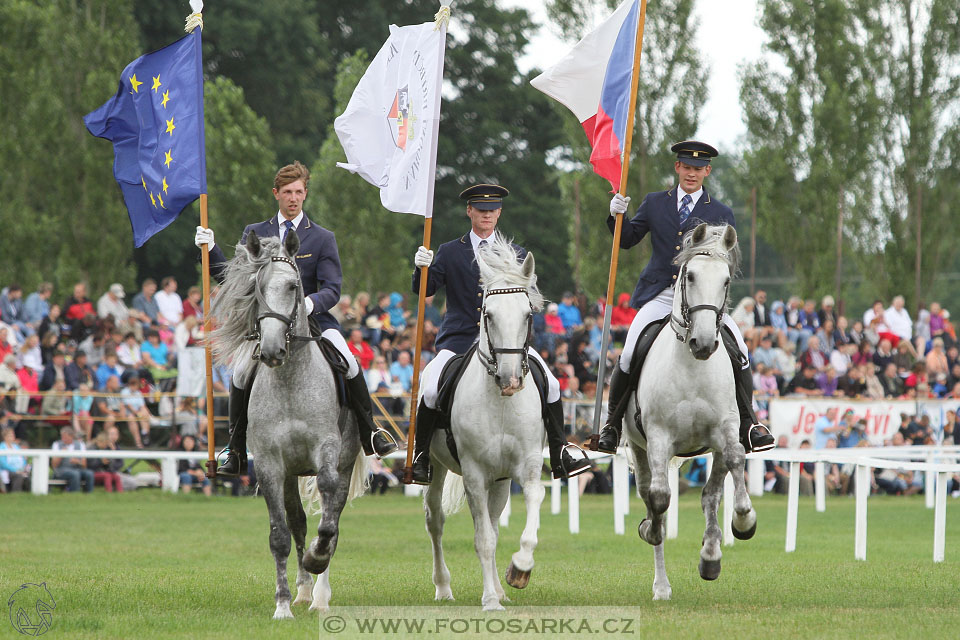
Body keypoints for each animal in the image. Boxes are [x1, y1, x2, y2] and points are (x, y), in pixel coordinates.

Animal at [211, 232, 368, 616]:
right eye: (255, 287)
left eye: (294, 286)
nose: (270, 351)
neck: (290, 380)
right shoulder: (271, 465)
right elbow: (280, 534)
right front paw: (282, 604)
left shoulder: (327, 452)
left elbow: (328, 519)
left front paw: (317, 558)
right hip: (289, 474)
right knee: (298, 520)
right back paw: (303, 592)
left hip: (342, 463)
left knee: (332, 516)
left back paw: (321, 593)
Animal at [426, 235, 552, 608]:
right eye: (488, 314)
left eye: (527, 314)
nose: (510, 380)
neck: (500, 403)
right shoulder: (474, 474)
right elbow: (482, 539)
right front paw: (489, 601)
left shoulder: (524, 465)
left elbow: (532, 502)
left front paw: (519, 569)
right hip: (438, 468)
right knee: (436, 520)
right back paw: (444, 587)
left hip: (500, 479)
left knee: (493, 523)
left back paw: (498, 587)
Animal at [628, 224, 760, 600]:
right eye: (690, 276)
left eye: (726, 280)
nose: (703, 343)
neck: (692, 365)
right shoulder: (658, 437)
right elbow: (659, 499)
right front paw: (650, 530)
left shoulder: (726, 428)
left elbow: (734, 463)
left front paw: (743, 521)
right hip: (638, 448)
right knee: (650, 493)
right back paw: (661, 584)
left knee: (710, 495)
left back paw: (711, 556)